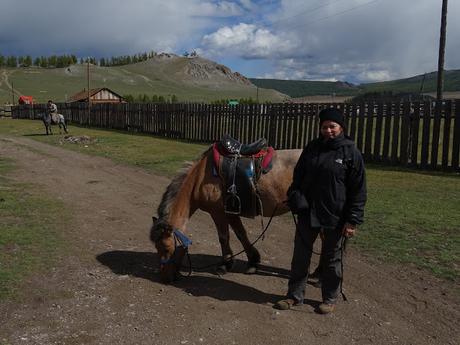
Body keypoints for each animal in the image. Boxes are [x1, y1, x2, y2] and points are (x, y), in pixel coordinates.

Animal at [149, 143, 304, 282]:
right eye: (156, 247)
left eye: (166, 248)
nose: (165, 278)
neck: (199, 178)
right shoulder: (230, 213)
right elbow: (241, 234)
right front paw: (253, 262)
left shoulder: (218, 212)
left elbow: (224, 237)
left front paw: (225, 265)